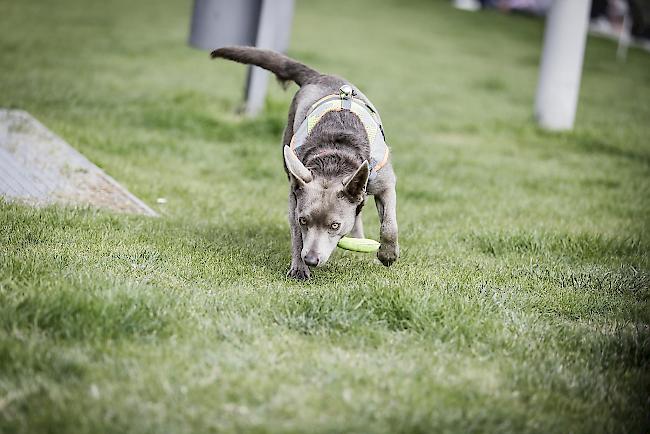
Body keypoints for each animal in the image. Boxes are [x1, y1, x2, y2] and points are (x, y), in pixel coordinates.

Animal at [210, 46, 398, 278]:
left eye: (334, 225)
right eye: (304, 221)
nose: (311, 259)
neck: (334, 158)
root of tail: (318, 76)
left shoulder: (385, 183)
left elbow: (389, 225)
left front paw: (388, 254)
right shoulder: (295, 196)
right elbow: (297, 235)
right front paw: (299, 268)